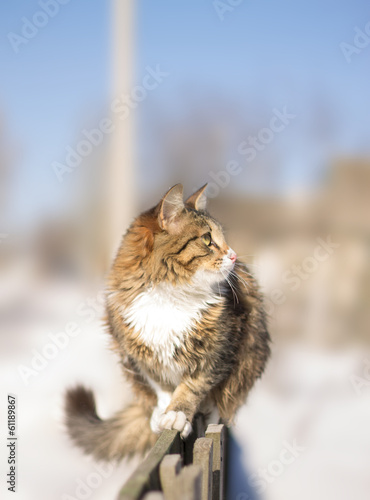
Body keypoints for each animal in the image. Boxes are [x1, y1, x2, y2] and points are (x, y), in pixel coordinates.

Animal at [65, 184, 270, 460]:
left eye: (222, 238)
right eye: (208, 239)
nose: (234, 256)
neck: (170, 297)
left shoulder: (220, 351)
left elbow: (192, 387)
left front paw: (177, 414)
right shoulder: (134, 350)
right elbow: (159, 383)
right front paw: (164, 410)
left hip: (250, 356)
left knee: (227, 401)